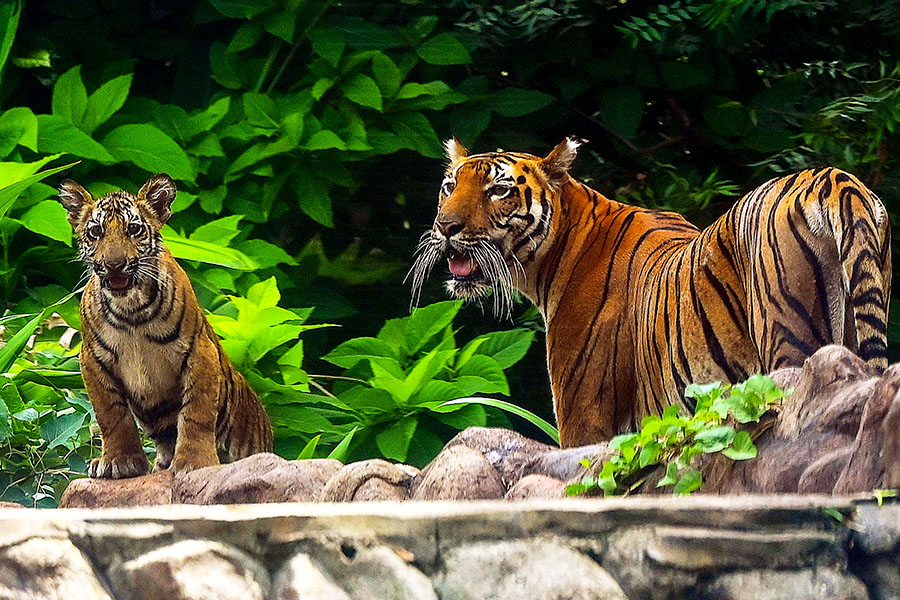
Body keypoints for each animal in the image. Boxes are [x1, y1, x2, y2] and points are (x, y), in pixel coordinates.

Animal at [58, 173, 272, 478]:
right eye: (96, 232)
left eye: (134, 229)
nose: (114, 264)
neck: (131, 310)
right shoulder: (92, 360)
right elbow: (111, 414)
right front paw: (119, 461)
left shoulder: (200, 352)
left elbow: (196, 413)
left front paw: (195, 462)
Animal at [412, 137, 888, 446]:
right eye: (450, 186)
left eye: (499, 190)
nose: (445, 226)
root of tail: (833, 178)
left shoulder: (585, 420)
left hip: (788, 338)